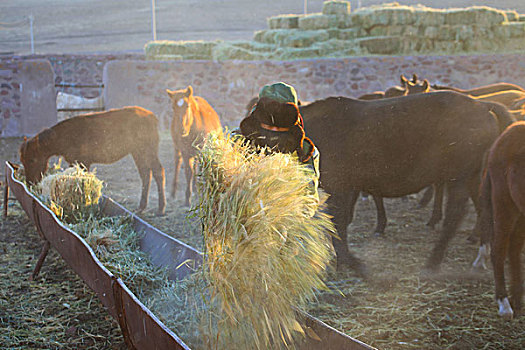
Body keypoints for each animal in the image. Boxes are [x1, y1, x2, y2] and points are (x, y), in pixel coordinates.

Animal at [19, 106, 166, 215]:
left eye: (32, 159)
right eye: (22, 160)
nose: (30, 182)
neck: (65, 136)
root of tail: (152, 117)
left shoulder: (83, 162)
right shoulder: (75, 162)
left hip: (147, 151)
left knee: (157, 172)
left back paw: (160, 209)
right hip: (137, 153)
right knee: (146, 174)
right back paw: (141, 207)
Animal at [300, 91, 512, 276]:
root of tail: (482, 106)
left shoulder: (340, 186)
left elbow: (339, 222)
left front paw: (345, 263)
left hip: (459, 177)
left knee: (455, 214)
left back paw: (434, 261)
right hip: (474, 177)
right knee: (484, 210)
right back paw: (480, 256)